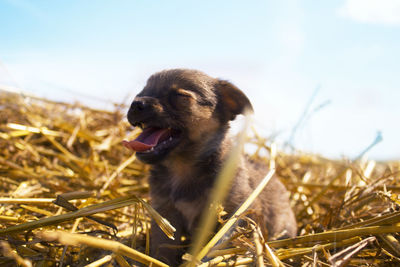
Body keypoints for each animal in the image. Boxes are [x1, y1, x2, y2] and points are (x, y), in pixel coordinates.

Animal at [123, 69, 296, 266]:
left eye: (180, 96)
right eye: (142, 91)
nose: (136, 103)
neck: (182, 169)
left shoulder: (235, 213)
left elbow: (219, 244)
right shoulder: (165, 211)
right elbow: (163, 246)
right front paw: (158, 260)